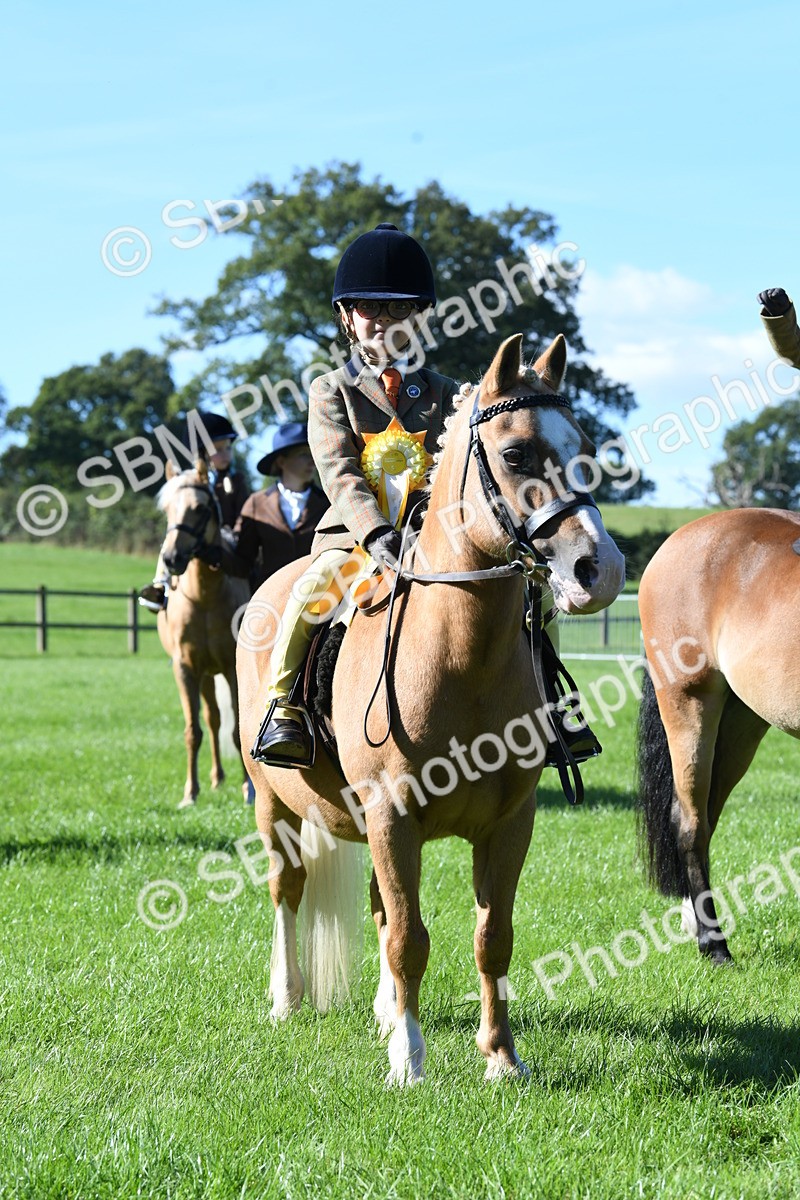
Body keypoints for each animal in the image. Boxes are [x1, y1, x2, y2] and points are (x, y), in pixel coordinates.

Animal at [156, 460, 251, 808]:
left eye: (199, 509)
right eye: (167, 509)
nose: (172, 559)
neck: (205, 597)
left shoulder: (232, 669)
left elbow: (238, 730)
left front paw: (248, 790)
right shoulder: (186, 668)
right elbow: (193, 730)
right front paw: (190, 793)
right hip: (205, 674)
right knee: (212, 720)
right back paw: (215, 778)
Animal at [238, 333, 625, 1083]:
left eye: (587, 446)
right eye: (516, 455)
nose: (602, 571)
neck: (460, 655)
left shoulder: (509, 822)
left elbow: (491, 936)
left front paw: (502, 1058)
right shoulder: (392, 817)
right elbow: (410, 939)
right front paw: (409, 1064)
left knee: (378, 908)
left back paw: (386, 1011)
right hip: (275, 806)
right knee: (287, 891)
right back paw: (287, 998)